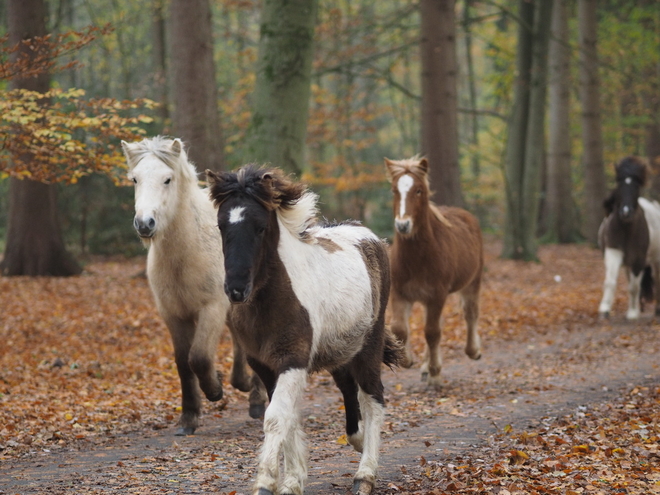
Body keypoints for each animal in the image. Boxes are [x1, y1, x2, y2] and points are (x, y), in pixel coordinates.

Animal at [122, 136, 260, 434]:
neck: (183, 256)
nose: (144, 223)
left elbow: (199, 357)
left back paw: (257, 399)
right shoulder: (173, 315)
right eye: (135, 179)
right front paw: (188, 417)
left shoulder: (211, 309)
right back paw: (244, 385)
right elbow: (183, 363)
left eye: (167, 179)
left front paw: (215, 390)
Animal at [384, 158, 482, 388]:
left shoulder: (437, 296)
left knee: (470, 313)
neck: (418, 259)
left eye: (419, 190)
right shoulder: (400, 294)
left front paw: (436, 373)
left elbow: (432, 332)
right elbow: (400, 328)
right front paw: (408, 359)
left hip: (472, 282)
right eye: (394, 190)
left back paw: (473, 351)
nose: (403, 225)